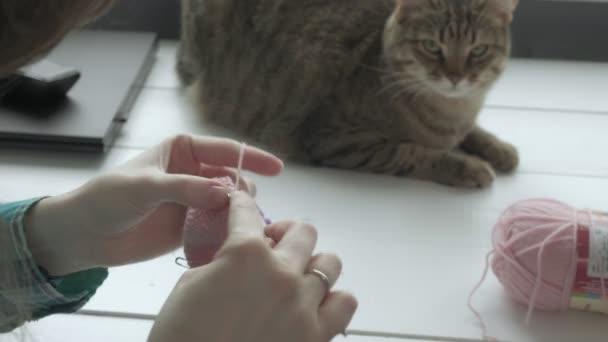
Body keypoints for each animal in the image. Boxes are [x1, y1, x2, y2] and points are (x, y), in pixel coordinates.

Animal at [178, 0, 520, 187]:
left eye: (478, 50)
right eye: (432, 46)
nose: (455, 77)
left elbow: (473, 133)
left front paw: (498, 147)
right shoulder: (338, 141)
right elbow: (412, 152)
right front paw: (466, 166)